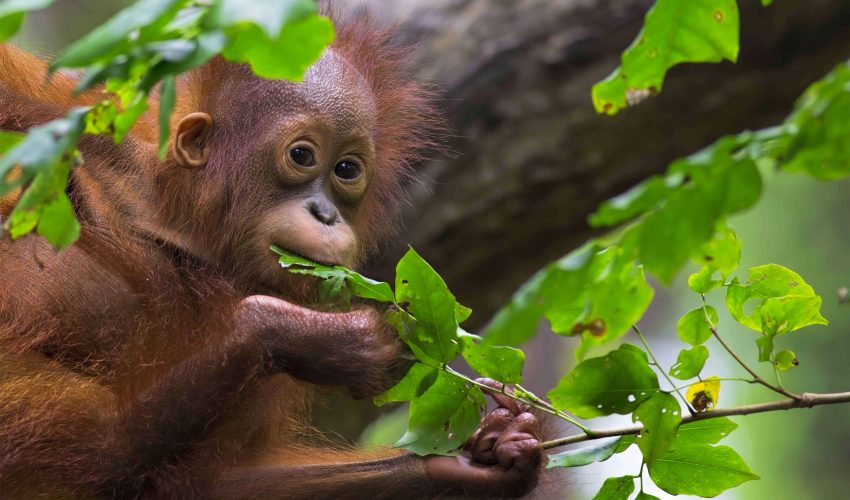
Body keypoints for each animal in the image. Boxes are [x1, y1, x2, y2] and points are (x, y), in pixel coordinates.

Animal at [0, 15, 545, 499]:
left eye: (347, 170)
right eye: (302, 156)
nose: (325, 213)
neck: (178, 228)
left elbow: (199, 485)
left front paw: (481, 456)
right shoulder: (53, 119)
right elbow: (94, 450)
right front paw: (324, 340)